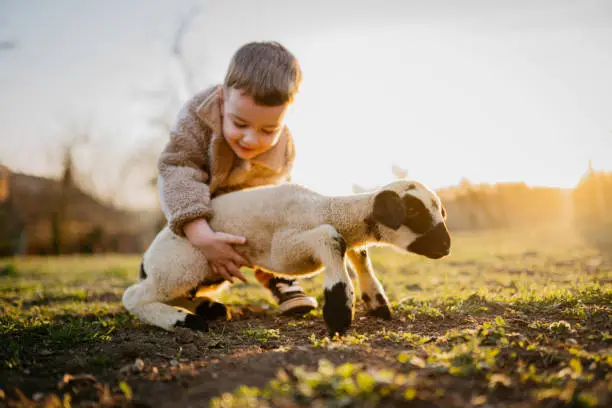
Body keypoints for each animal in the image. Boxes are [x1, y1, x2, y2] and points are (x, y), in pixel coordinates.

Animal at [123, 178, 450, 334]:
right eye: (415, 212)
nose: (447, 247)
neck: (325, 208)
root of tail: (146, 261)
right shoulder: (285, 249)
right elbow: (334, 238)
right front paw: (339, 314)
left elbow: (359, 253)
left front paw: (377, 303)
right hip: (182, 263)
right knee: (134, 296)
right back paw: (185, 321)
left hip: (206, 272)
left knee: (174, 293)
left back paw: (208, 308)